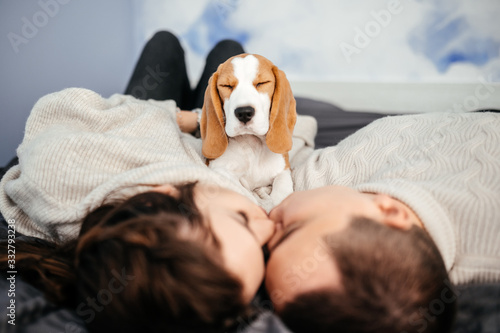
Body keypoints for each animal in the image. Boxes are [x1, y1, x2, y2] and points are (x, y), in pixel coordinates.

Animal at [200, 53, 294, 206]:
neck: (253, 145)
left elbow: (282, 189)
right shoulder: (219, 170)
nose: (244, 112)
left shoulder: (284, 169)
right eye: (226, 86)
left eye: (262, 83)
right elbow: (245, 192)